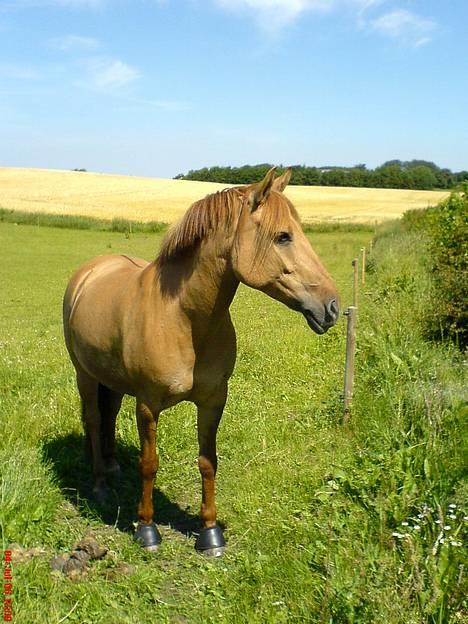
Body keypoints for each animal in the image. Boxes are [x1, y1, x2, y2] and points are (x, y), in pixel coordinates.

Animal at [63, 166, 340, 556]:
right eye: (283, 236)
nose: (332, 306)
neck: (182, 317)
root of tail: (89, 272)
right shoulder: (147, 404)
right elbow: (149, 464)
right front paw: (146, 529)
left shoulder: (213, 401)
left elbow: (208, 462)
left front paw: (210, 533)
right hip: (85, 375)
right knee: (93, 419)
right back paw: (101, 485)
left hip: (112, 380)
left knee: (109, 415)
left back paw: (112, 465)